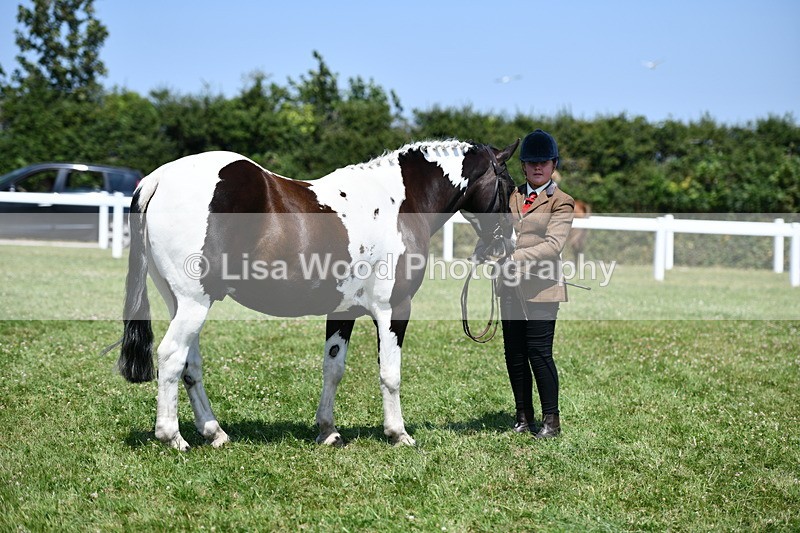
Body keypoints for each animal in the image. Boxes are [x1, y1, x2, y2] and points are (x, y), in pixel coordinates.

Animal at [117, 139, 519, 450]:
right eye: (509, 185)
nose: (509, 244)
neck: (398, 204)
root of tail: (158, 179)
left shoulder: (343, 311)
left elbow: (333, 368)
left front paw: (328, 431)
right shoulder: (394, 309)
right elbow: (390, 374)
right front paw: (398, 433)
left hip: (181, 303)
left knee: (191, 365)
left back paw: (215, 433)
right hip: (194, 304)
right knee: (171, 357)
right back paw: (172, 437)